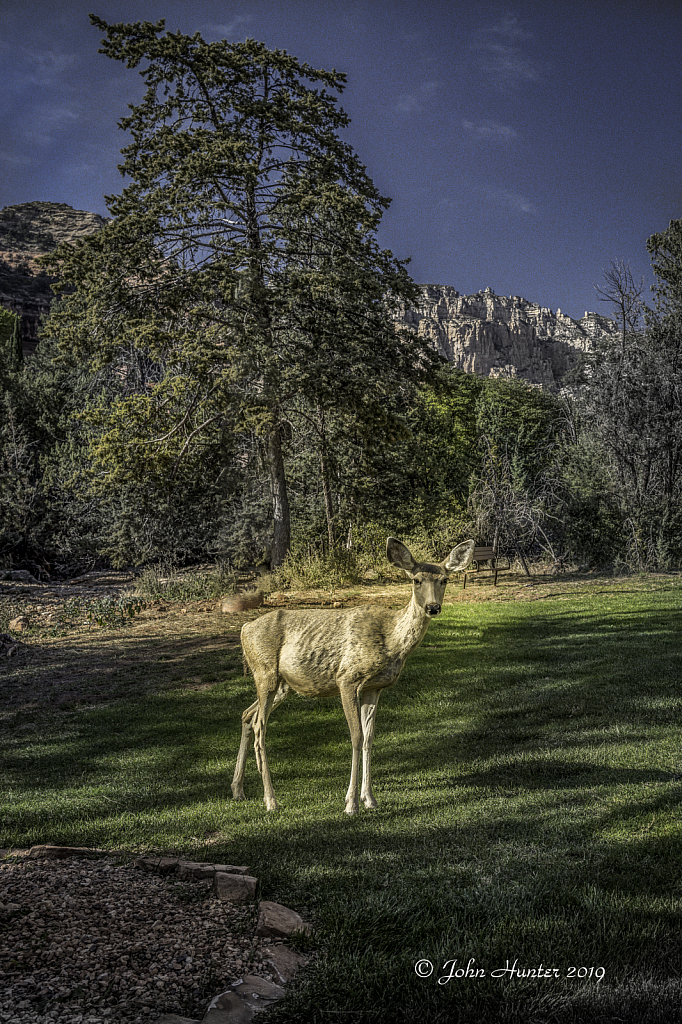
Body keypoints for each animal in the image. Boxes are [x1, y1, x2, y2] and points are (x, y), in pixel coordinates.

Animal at [228, 536, 473, 815]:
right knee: (260, 727)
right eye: (416, 580)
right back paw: (270, 800)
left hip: (282, 684)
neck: (391, 641)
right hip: (265, 672)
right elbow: (356, 737)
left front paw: (370, 799)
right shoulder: (347, 678)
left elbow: (369, 738)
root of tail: (244, 628)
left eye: (444, 580)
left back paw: (238, 790)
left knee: (247, 715)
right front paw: (351, 803)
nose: (433, 607)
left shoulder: (375, 687)